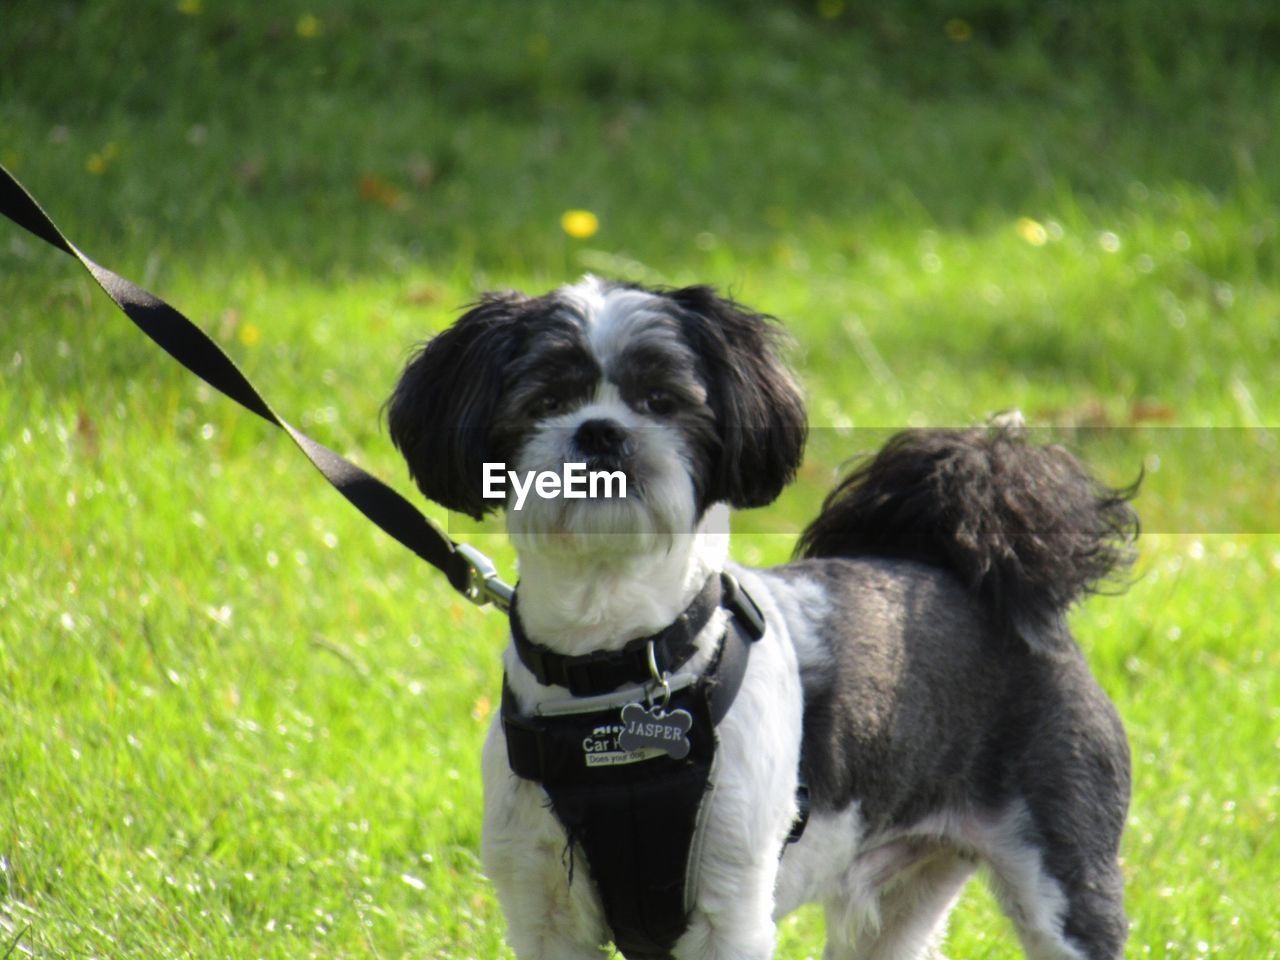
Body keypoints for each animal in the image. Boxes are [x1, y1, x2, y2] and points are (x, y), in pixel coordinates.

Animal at [384, 277, 1136, 960]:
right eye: (545, 402)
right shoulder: (543, 906)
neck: (616, 671)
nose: (600, 430)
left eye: (662, 401)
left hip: (1063, 863)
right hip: (897, 900)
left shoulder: (730, 901)